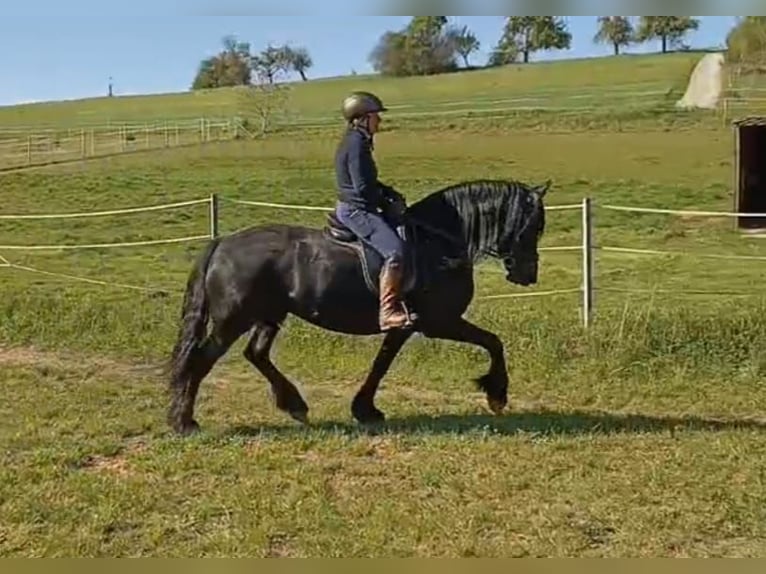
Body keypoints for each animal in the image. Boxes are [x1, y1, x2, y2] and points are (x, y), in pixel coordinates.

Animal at [166, 177, 549, 435]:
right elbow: (493, 342)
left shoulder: (406, 325)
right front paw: (497, 394)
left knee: (256, 354)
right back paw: (184, 422)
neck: (438, 242)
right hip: (234, 318)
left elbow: (382, 363)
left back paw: (294, 405)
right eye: (532, 226)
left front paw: (364, 409)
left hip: (269, 314)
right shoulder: (438, 321)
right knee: (201, 359)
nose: (528, 274)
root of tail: (221, 243)